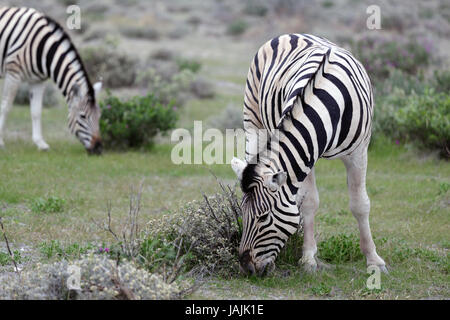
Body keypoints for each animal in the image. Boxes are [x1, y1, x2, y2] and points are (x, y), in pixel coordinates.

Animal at [0, 6, 102, 154]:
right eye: (82, 116)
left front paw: (40, 143)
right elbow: (6, 106)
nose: (99, 148)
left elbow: (36, 111)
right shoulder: (13, 73)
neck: (43, 49)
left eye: (99, 115)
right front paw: (0, 142)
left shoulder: (37, 80)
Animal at [232, 33, 386, 276]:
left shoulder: (359, 152)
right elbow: (309, 203)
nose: (246, 267)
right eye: (242, 214)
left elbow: (360, 204)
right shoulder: (305, 154)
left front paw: (374, 260)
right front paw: (308, 259)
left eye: (264, 217)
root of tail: (288, 34)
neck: (329, 106)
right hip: (253, 122)